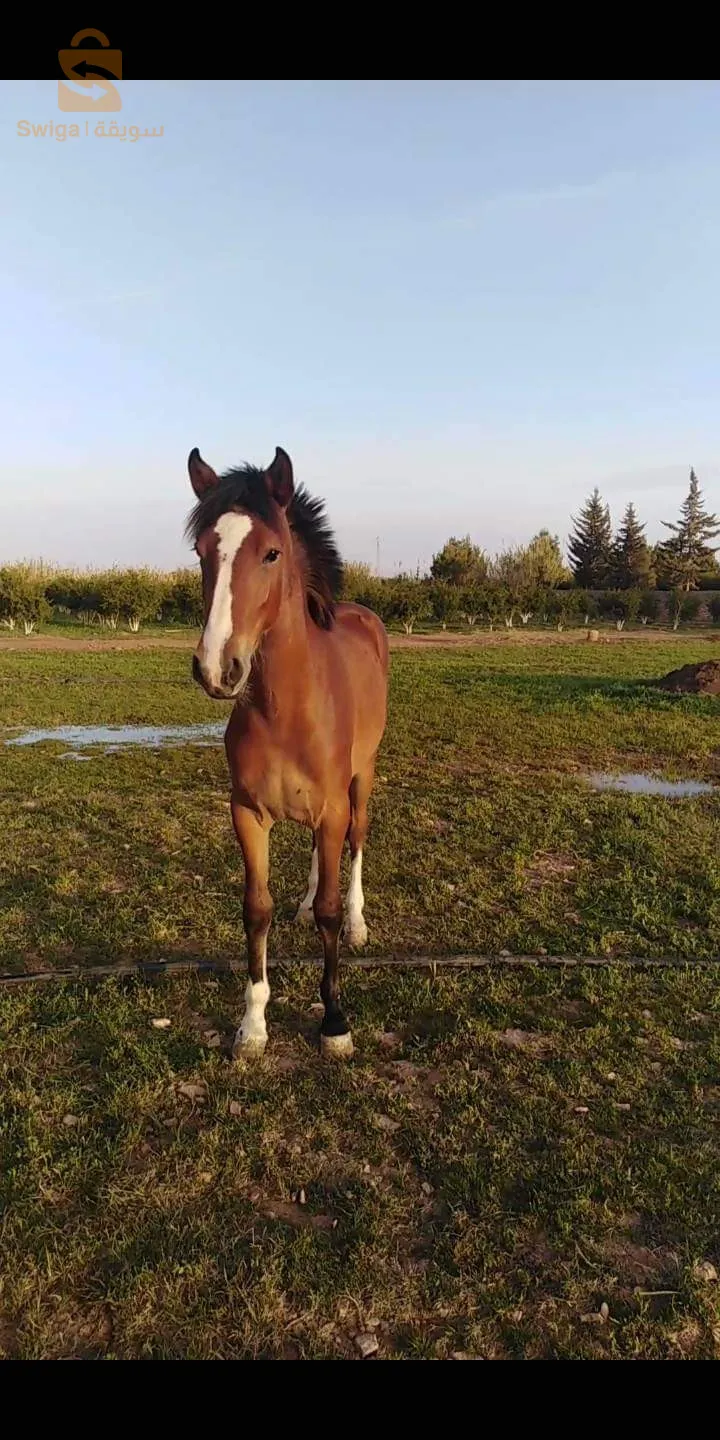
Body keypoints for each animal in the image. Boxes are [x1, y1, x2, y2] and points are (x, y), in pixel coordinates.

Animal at [186, 445, 389, 1061]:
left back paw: (359, 922)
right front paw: (251, 1026)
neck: (286, 710)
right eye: (202, 552)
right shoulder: (248, 813)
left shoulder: (334, 807)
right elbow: (257, 909)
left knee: (356, 844)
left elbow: (329, 910)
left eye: (272, 553)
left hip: (360, 783)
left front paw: (335, 1022)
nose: (217, 668)